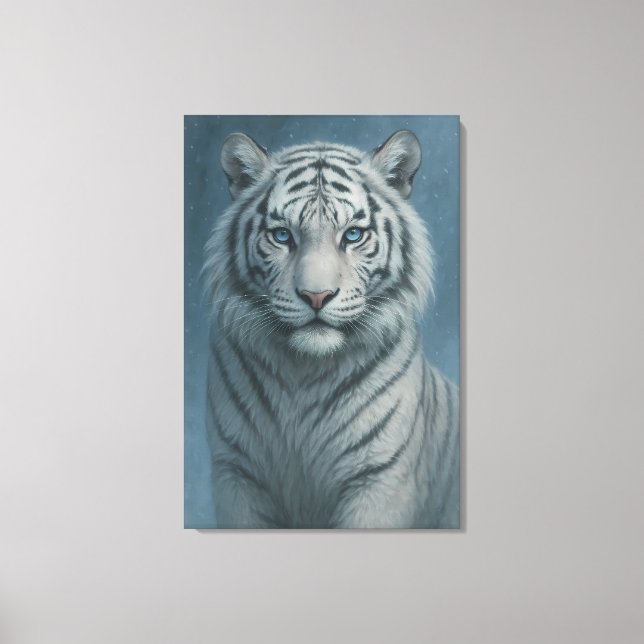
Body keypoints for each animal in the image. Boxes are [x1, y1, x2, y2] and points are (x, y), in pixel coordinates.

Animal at [202, 129, 460, 528]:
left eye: (353, 235)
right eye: (282, 236)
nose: (316, 296)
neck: (304, 374)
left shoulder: (379, 478)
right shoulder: (237, 474)